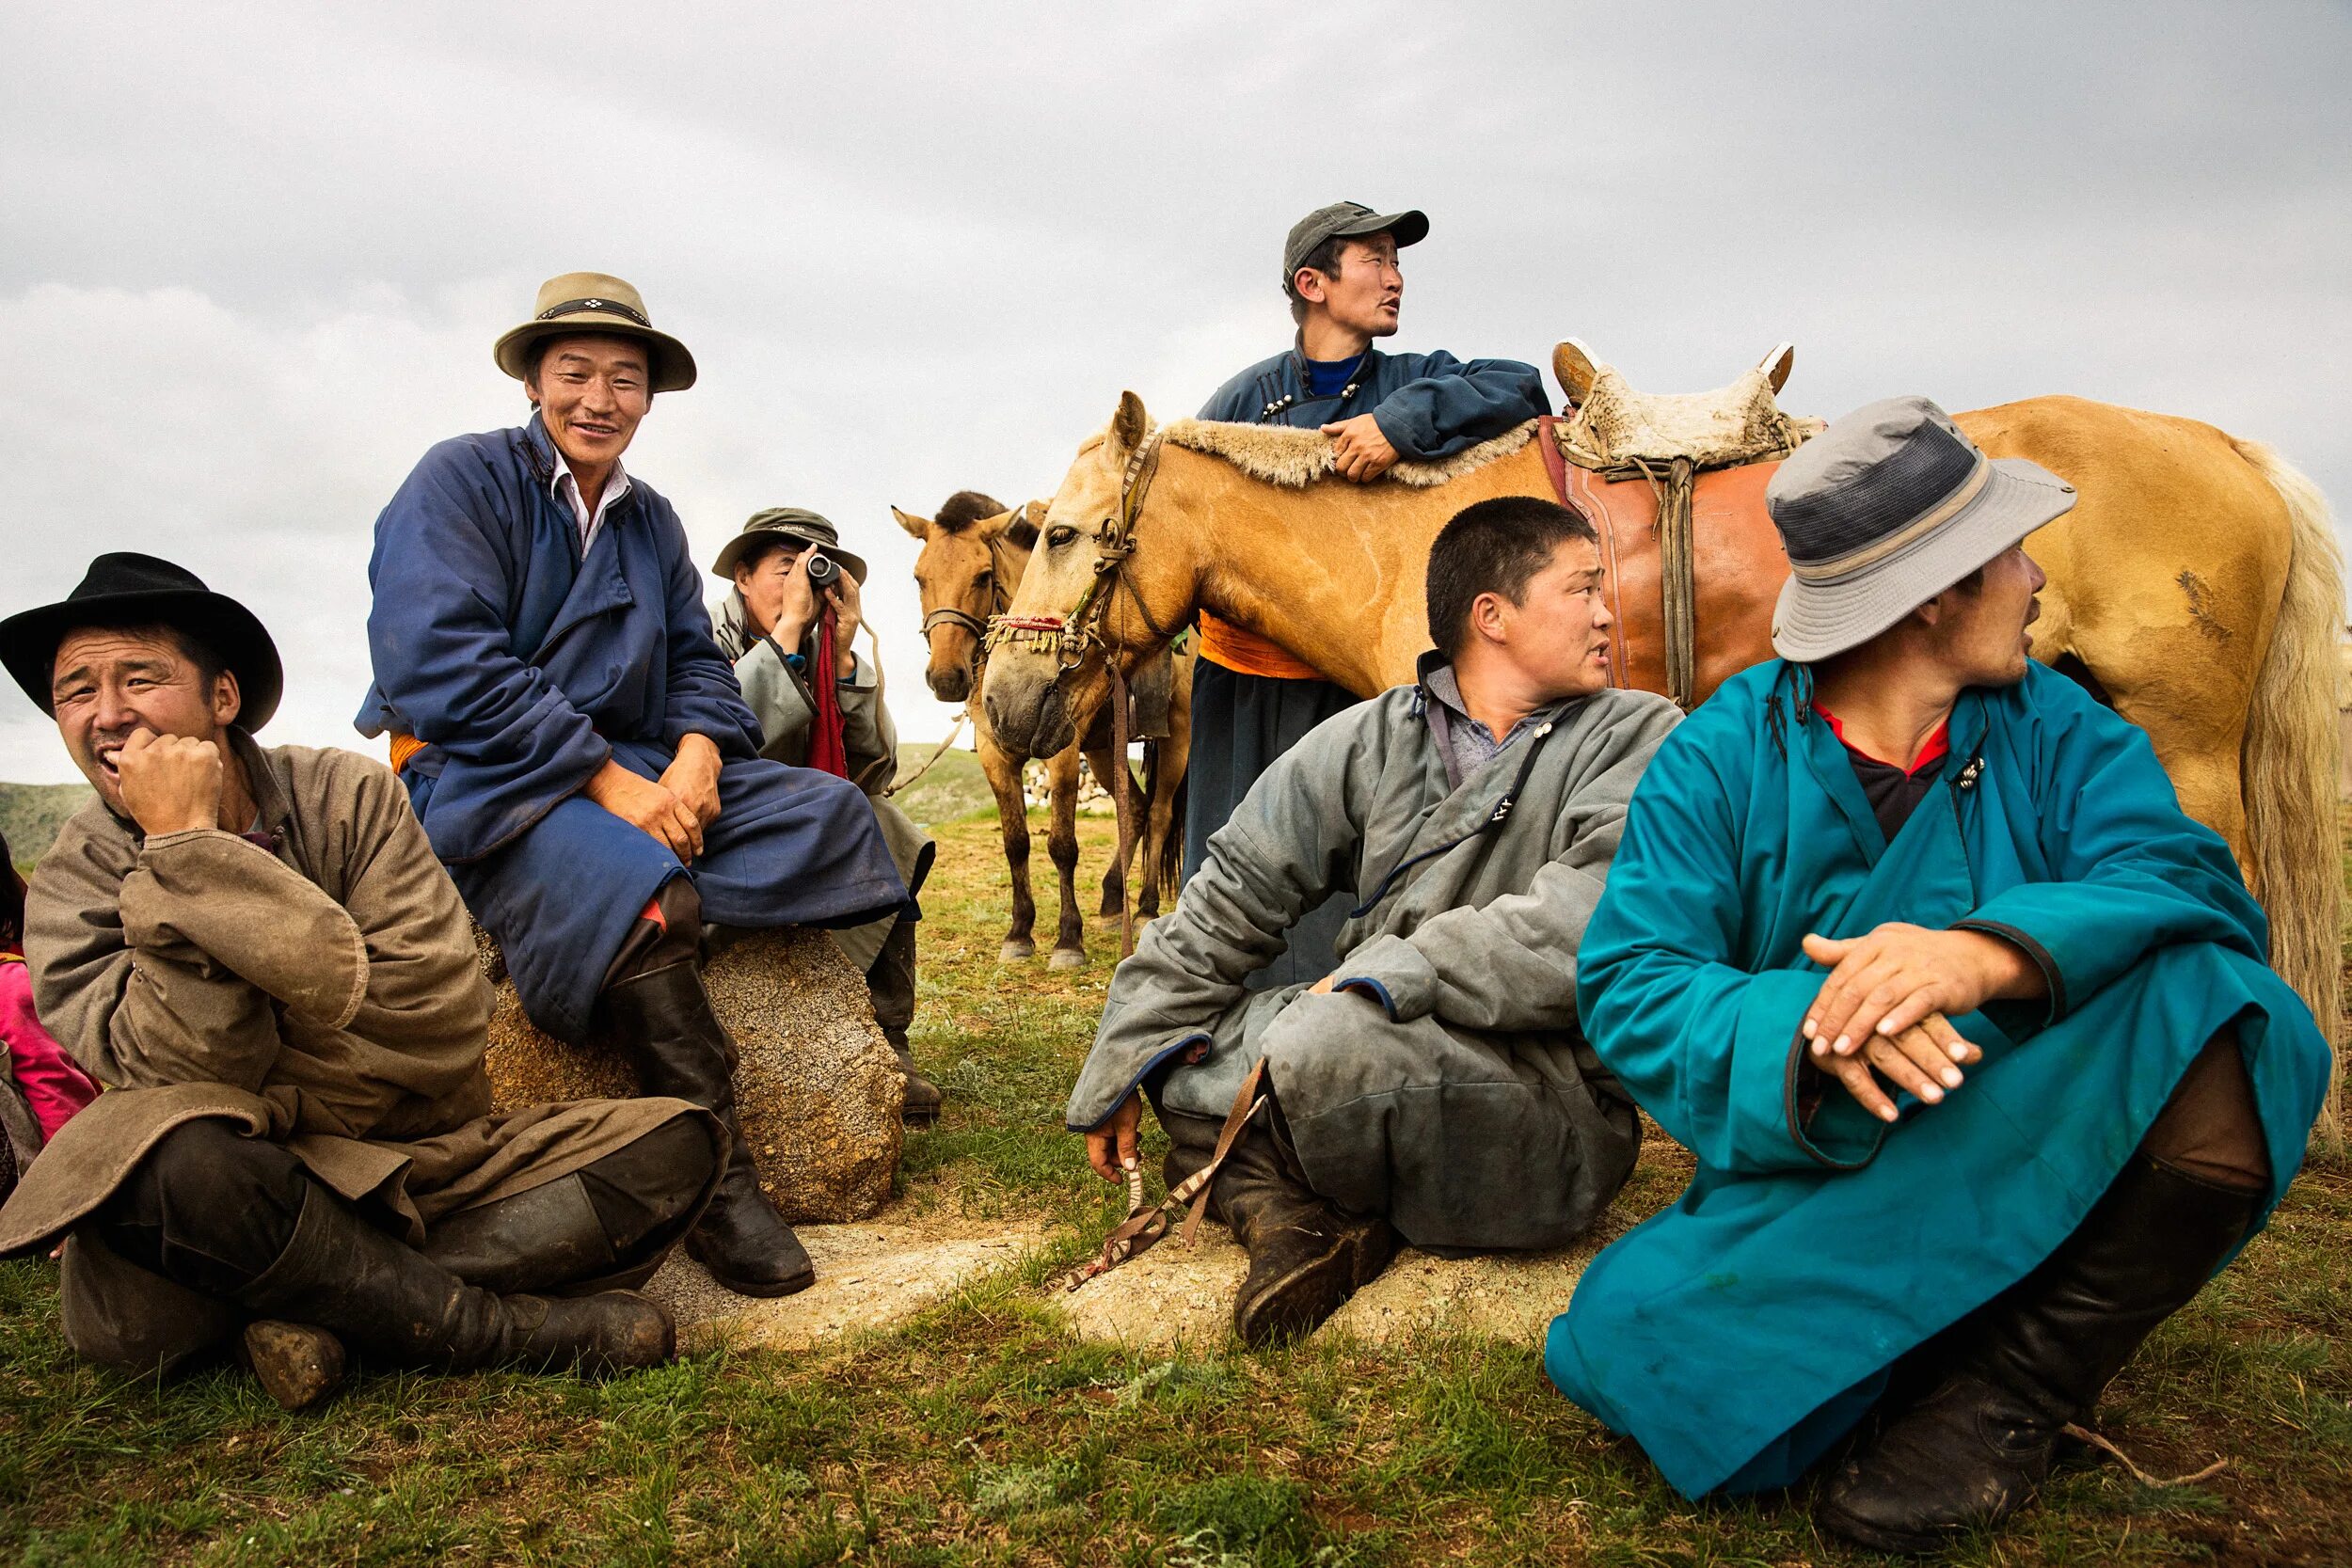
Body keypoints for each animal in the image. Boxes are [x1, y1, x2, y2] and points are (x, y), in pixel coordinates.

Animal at [894, 493, 1195, 968]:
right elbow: (1016, 842)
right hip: (1104, 749)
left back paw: (1145, 909)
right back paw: (1112, 902)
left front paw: (1068, 939)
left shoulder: (1062, 756)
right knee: (1135, 808)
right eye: (920, 578)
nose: (945, 677)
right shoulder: (995, 755)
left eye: (982, 576)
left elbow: (1062, 845)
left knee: (1160, 813)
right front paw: (1019, 932)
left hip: (1176, 741)